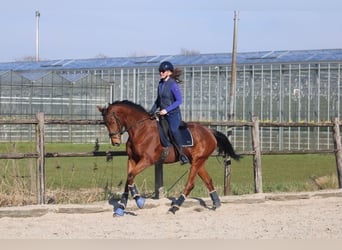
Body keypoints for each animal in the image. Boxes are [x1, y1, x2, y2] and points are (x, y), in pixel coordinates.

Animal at [97, 99, 240, 215]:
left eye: (112, 121)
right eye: (105, 123)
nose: (115, 142)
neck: (140, 130)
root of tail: (209, 131)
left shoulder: (147, 160)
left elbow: (131, 176)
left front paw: (139, 201)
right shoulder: (132, 159)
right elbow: (129, 179)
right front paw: (121, 207)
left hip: (197, 161)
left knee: (190, 184)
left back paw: (175, 207)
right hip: (198, 161)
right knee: (208, 180)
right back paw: (216, 203)